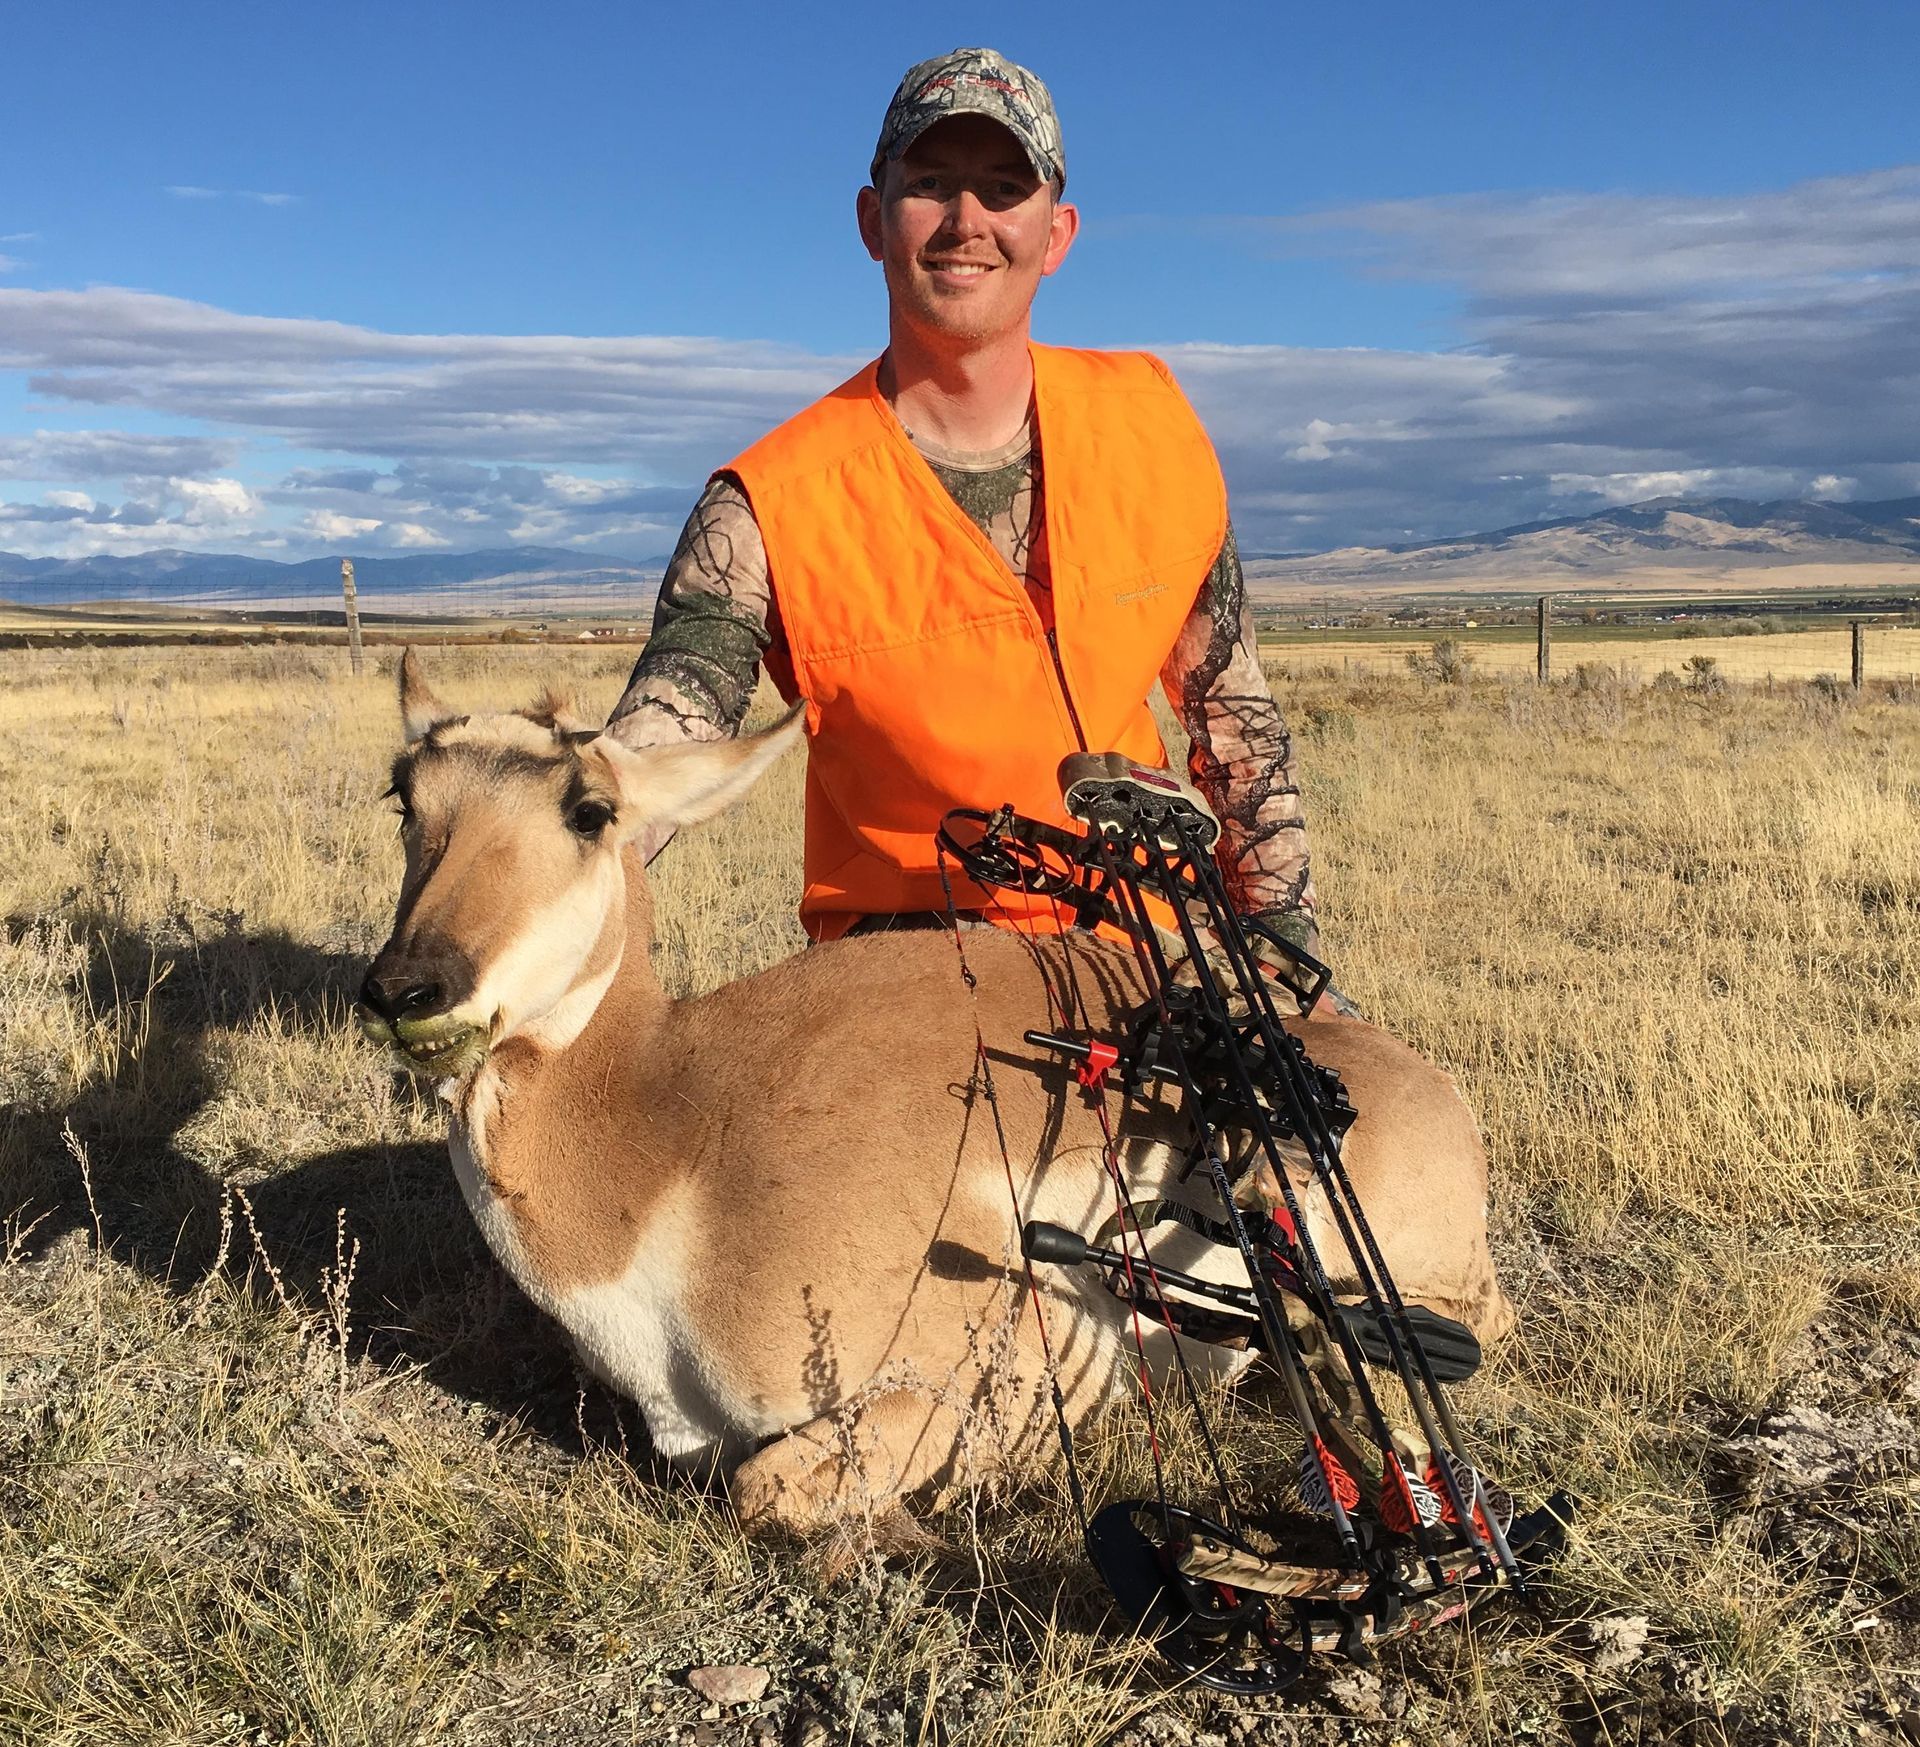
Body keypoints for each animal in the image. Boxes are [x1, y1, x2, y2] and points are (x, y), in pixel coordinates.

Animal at [357, 652, 1512, 1530]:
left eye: (590, 808)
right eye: (404, 796)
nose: (406, 988)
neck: (678, 1139)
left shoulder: (947, 1376)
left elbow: (762, 1488)